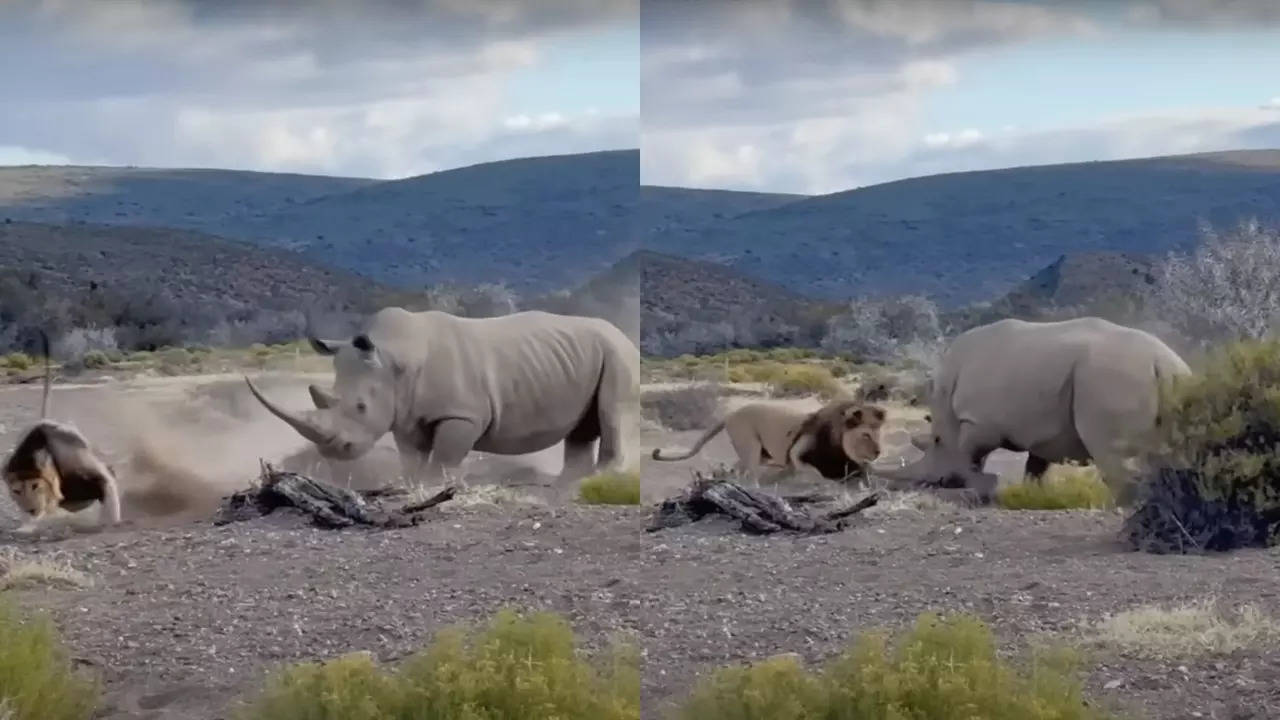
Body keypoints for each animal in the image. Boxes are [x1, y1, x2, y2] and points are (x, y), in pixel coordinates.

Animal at [241, 304, 637, 484]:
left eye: (361, 406)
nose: (334, 452)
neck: (395, 358)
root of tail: (624, 335)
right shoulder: (405, 414)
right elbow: (411, 455)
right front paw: (411, 484)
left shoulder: (462, 414)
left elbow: (446, 456)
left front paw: (437, 487)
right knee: (582, 427)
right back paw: (569, 481)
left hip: (618, 353)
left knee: (610, 413)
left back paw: (601, 480)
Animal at [650, 394, 890, 484]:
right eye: (865, 434)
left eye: (879, 433)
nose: (878, 452)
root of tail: (729, 415)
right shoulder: (795, 454)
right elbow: (814, 474)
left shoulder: (858, 466)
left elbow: (870, 474)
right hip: (750, 446)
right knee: (750, 475)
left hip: (757, 454)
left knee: (737, 469)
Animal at [880, 313, 1187, 504]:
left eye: (935, 441)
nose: (933, 482)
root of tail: (1161, 363)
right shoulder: (1042, 433)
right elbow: (1034, 467)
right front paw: (1031, 495)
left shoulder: (979, 423)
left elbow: (971, 455)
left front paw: (975, 486)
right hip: (1159, 377)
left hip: (1113, 380)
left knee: (1113, 457)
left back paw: (1121, 507)